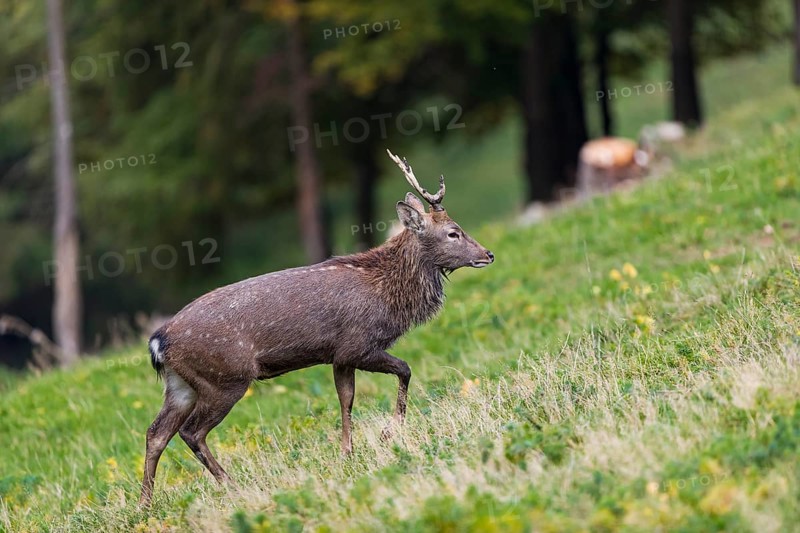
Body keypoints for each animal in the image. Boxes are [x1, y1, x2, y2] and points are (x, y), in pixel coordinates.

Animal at [139, 150, 495, 505]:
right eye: (453, 232)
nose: (488, 254)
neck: (388, 295)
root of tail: (158, 341)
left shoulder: (339, 356)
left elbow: (345, 398)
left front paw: (347, 452)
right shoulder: (358, 344)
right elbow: (404, 370)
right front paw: (388, 432)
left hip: (181, 384)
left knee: (156, 432)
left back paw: (146, 503)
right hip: (225, 378)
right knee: (192, 431)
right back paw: (231, 485)